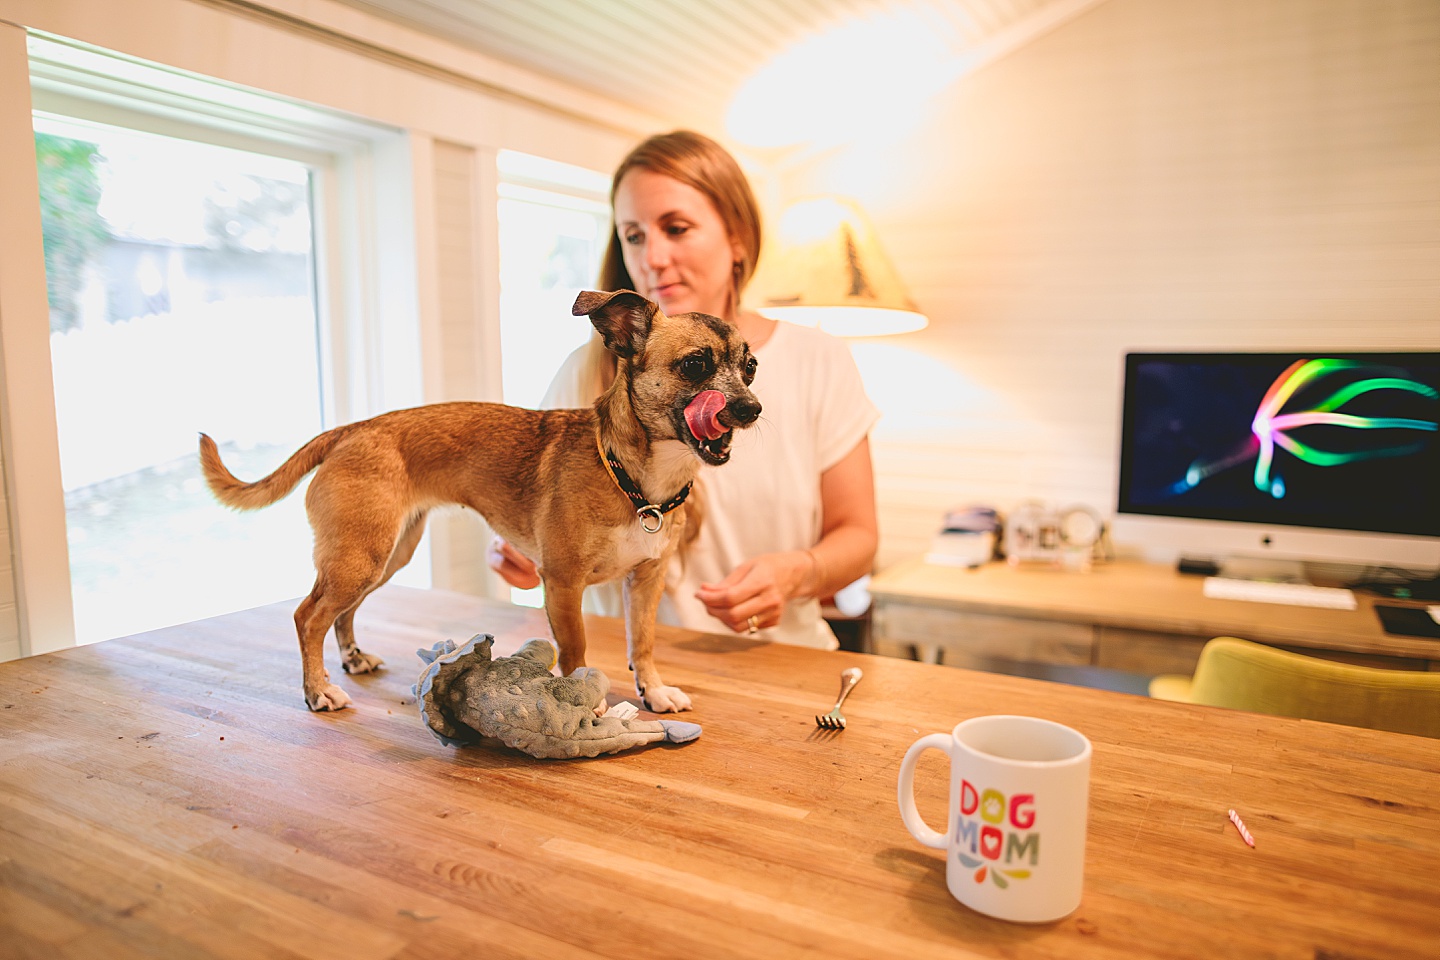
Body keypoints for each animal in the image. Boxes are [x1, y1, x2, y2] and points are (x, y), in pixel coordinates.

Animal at [205, 290, 766, 713]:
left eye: (751, 368)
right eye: (694, 365)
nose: (751, 409)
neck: (634, 478)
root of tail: (353, 429)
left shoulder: (646, 581)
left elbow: (642, 642)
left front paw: (653, 691)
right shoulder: (562, 585)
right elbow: (576, 649)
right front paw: (586, 699)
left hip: (383, 556)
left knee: (340, 613)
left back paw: (352, 660)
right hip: (359, 557)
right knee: (308, 617)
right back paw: (318, 691)